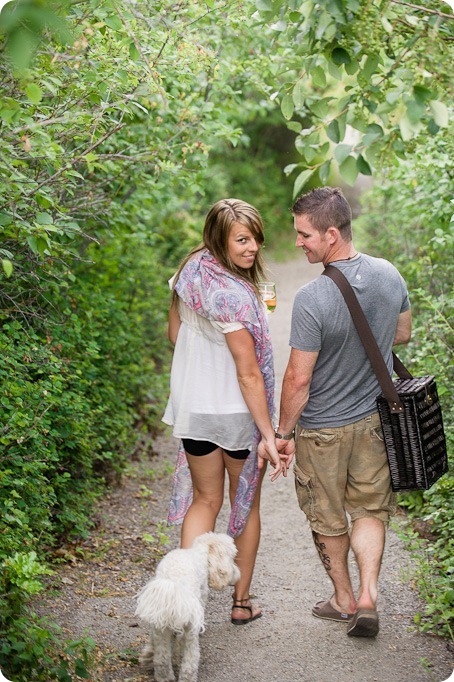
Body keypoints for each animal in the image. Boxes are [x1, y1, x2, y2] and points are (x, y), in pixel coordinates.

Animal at [135, 532, 241, 680]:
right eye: (232, 558)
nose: (236, 574)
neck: (199, 553)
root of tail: (174, 584)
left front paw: (148, 654)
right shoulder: (201, 598)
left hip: (161, 626)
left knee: (161, 658)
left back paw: (164, 677)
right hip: (190, 629)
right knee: (190, 659)